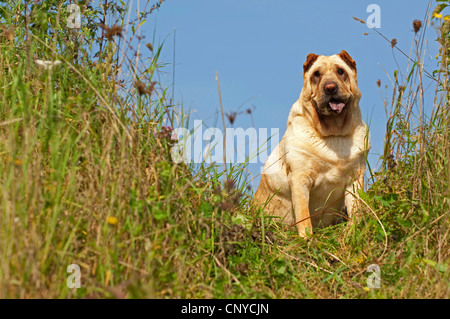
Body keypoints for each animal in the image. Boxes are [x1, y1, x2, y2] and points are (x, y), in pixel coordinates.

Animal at [253, 50, 370, 238]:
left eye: (340, 71)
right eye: (316, 74)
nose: (330, 87)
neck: (334, 134)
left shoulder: (355, 178)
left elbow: (356, 210)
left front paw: (353, 233)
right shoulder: (300, 178)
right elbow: (303, 214)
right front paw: (307, 238)